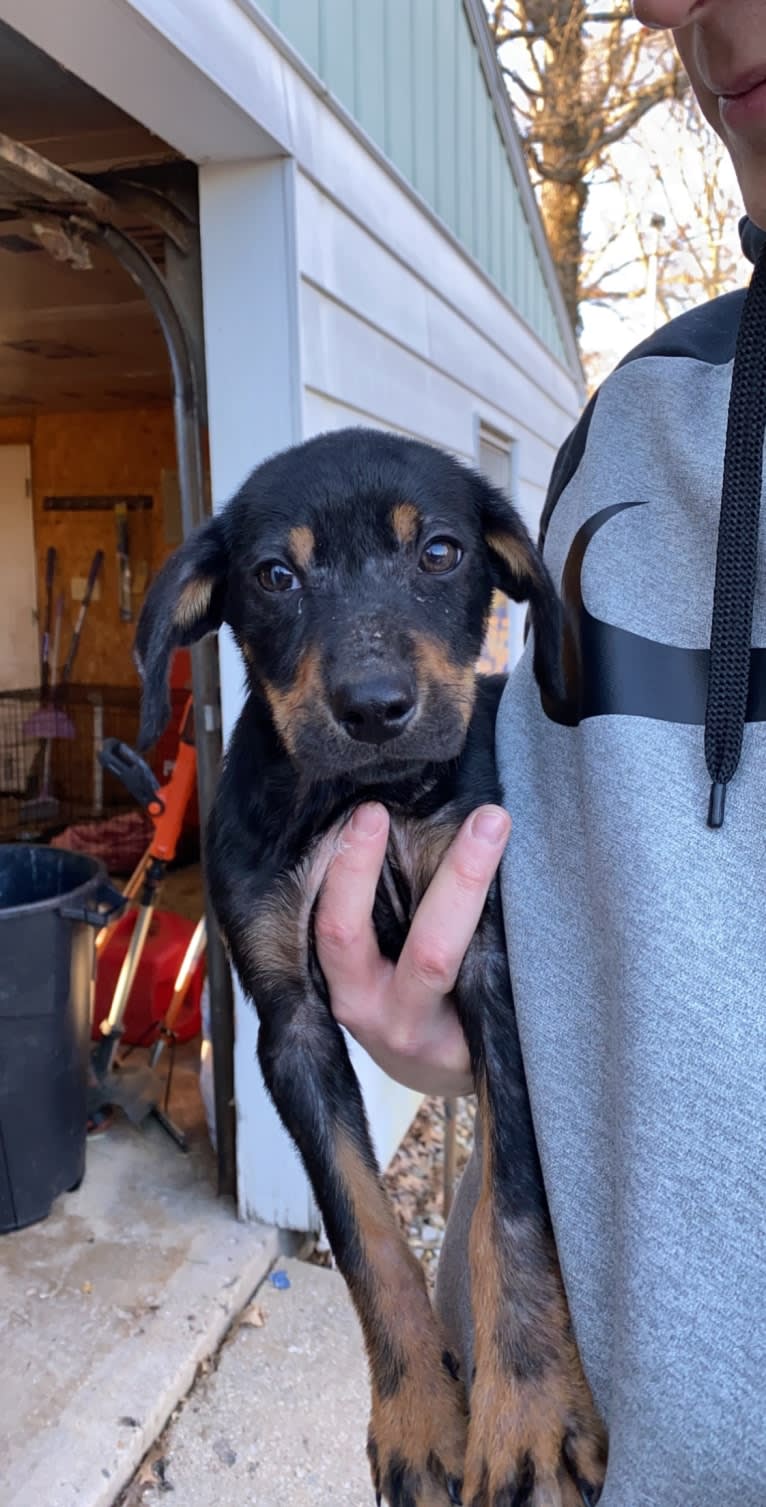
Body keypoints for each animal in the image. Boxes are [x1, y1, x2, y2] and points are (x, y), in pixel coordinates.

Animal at [136, 427, 603, 1507]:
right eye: (275, 575)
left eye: (438, 552)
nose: (375, 708)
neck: (366, 798)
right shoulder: (290, 1024)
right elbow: (362, 1227)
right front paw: (422, 1419)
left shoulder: (493, 968)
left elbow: (515, 1206)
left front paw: (524, 1412)